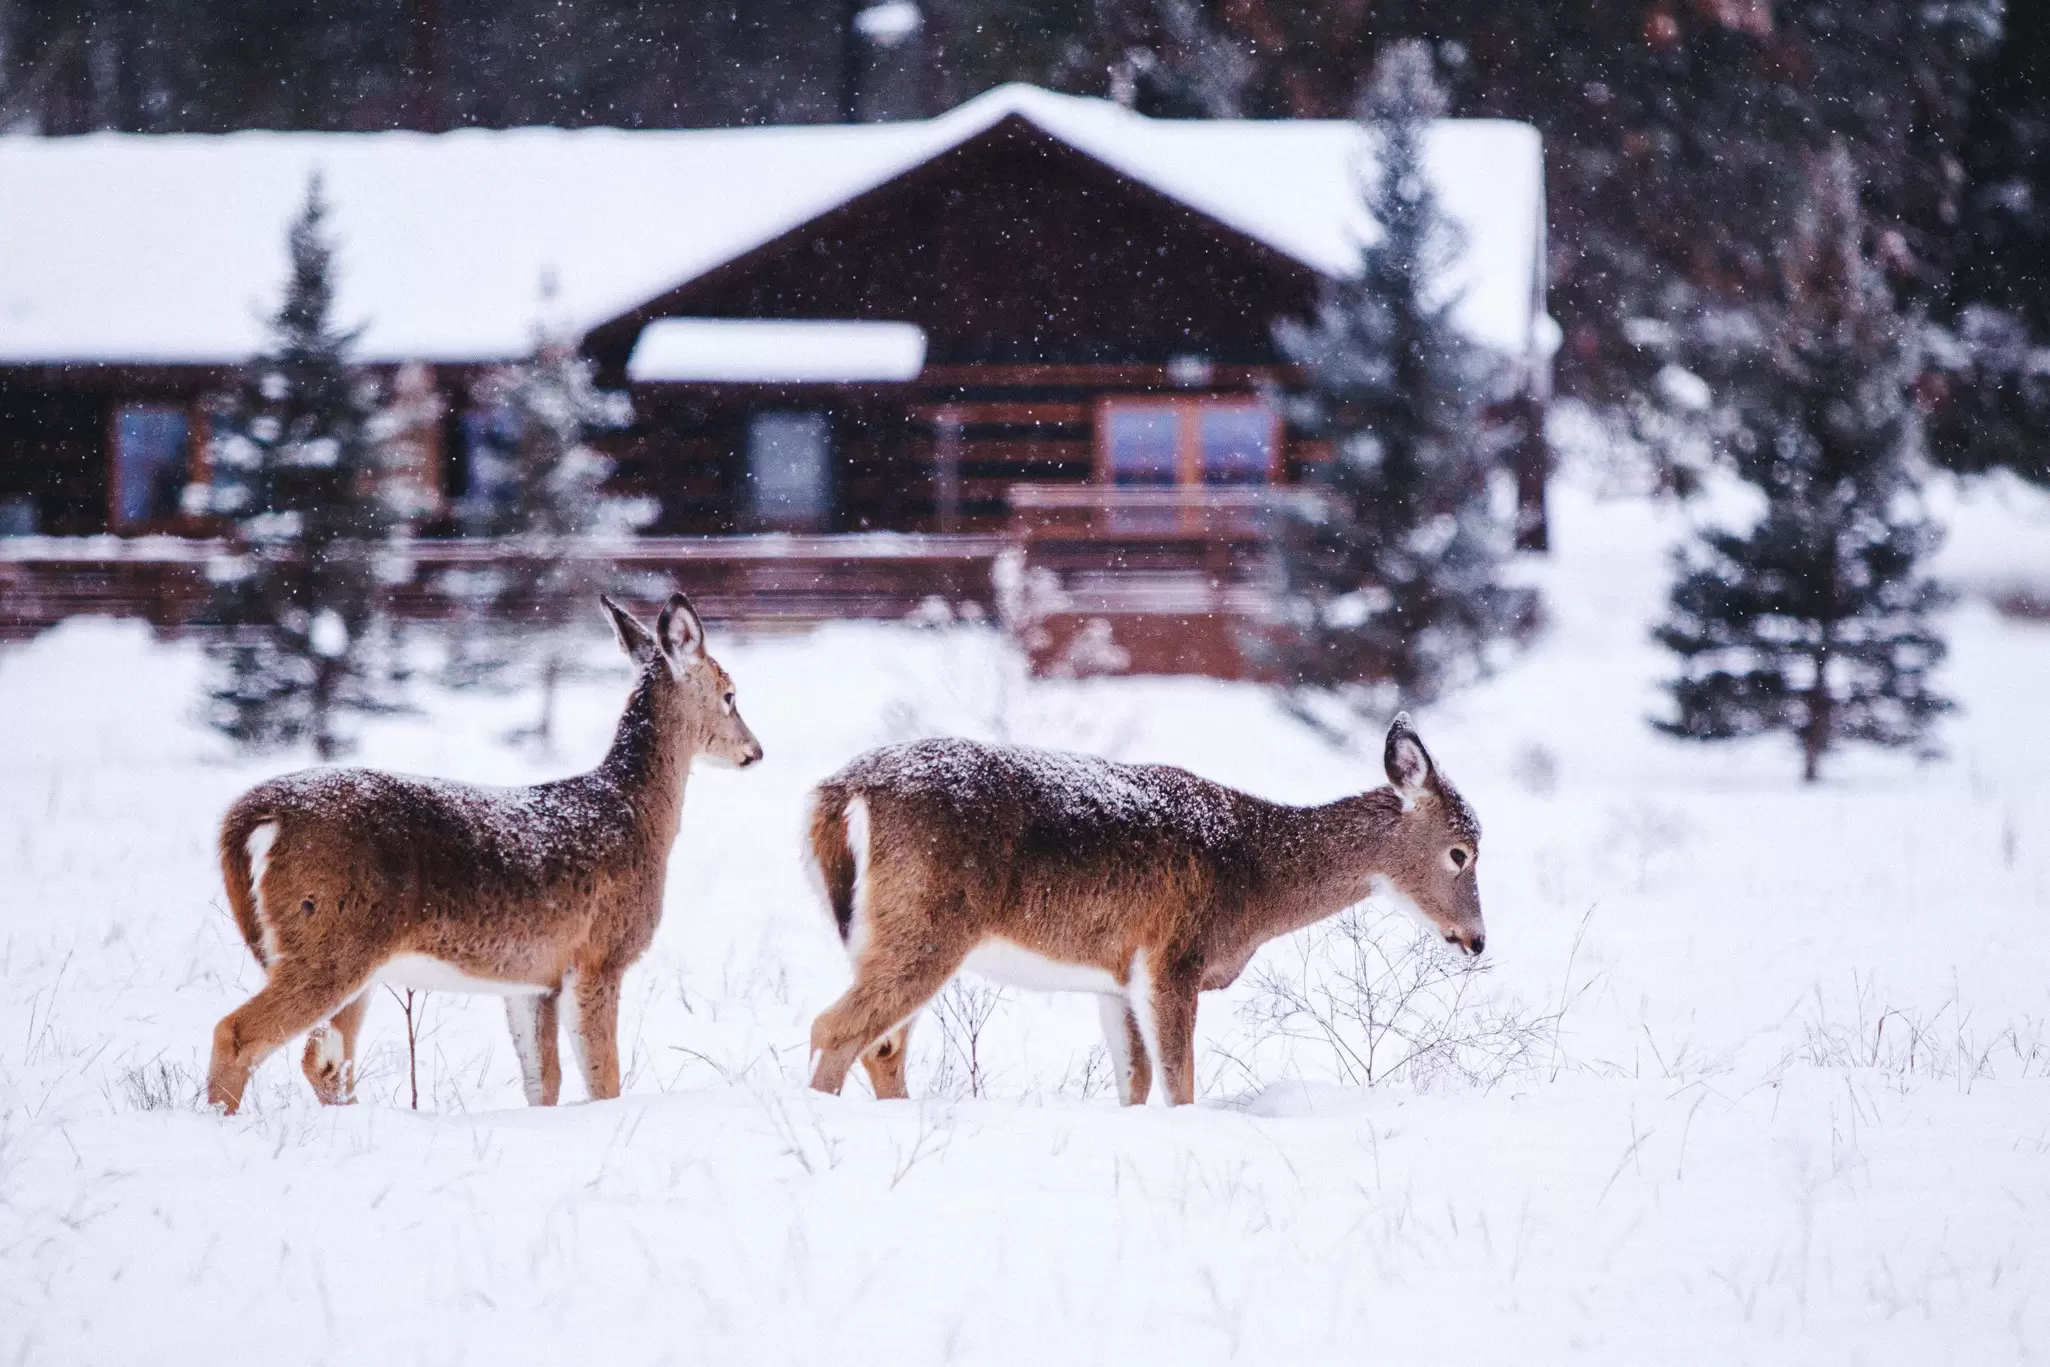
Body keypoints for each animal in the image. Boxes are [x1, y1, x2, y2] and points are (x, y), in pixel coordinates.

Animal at [205, 592, 762, 1115]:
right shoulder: (599, 954)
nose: (754, 751)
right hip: (328, 940)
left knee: (324, 1060)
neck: (630, 811)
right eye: (730, 695)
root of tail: (251, 815)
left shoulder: (532, 980)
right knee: (238, 1034)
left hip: (342, 957)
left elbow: (543, 1083)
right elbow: (603, 1082)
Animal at [802, 714, 1483, 1107]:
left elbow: (1137, 1081)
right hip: (926, 926)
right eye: (1461, 852)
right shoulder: (1174, 955)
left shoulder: (1117, 978)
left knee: (882, 1047)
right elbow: (1180, 1084)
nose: (1476, 940)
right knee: (835, 1030)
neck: (1255, 876)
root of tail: (838, 792)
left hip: (887, 936)